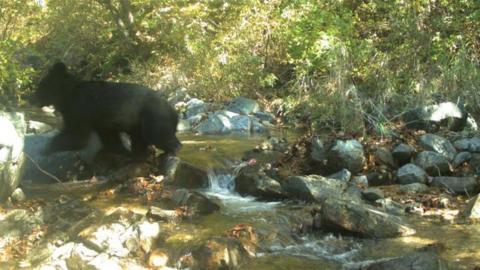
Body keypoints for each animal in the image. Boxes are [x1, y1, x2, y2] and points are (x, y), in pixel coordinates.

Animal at [35, 62, 182, 157]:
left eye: (39, 87)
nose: (31, 98)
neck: (66, 96)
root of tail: (174, 111)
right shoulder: (101, 121)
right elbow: (108, 137)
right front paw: (116, 150)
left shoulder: (79, 109)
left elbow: (76, 134)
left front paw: (46, 149)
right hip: (138, 124)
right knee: (140, 140)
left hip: (153, 117)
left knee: (158, 134)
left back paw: (172, 149)